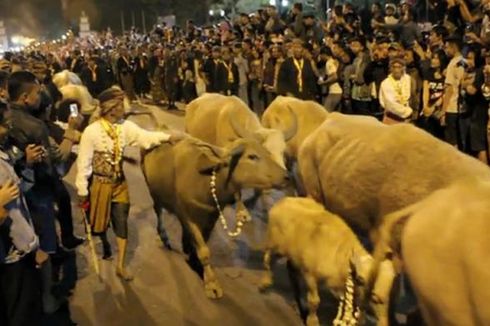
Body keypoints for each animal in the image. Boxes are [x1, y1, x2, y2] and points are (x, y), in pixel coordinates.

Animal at [142, 136, 290, 300]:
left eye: (267, 153)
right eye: (252, 156)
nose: (286, 176)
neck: (205, 182)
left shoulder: (212, 216)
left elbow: (203, 243)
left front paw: (194, 259)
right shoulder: (186, 215)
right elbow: (204, 250)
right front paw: (211, 283)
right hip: (153, 193)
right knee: (158, 212)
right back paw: (162, 236)